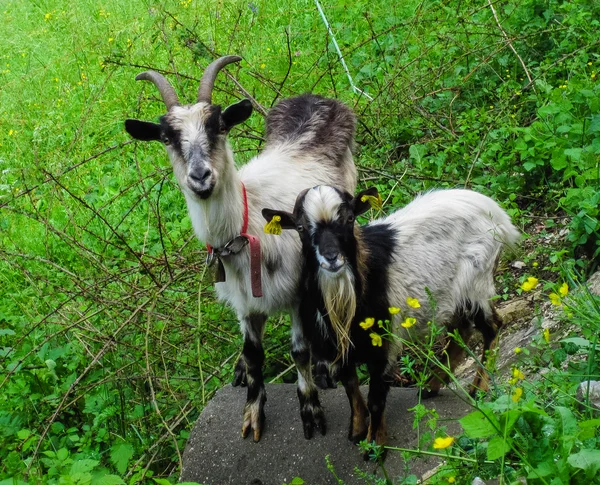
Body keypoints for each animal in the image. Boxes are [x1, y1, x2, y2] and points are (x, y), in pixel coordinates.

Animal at [123, 55, 354, 438]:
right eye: (167, 137)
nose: (200, 176)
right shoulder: (244, 302)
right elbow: (253, 355)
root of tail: (312, 98)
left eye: (218, 125)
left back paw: (326, 366)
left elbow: (299, 352)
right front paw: (252, 414)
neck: (246, 230)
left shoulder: (295, 291)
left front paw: (311, 411)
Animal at [262, 187, 520, 448]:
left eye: (349, 219)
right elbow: (350, 386)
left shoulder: (382, 343)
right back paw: (430, 386)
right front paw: (356, 430)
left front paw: (375, 445)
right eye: (301, 228)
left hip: (477, 281)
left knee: (491, 326)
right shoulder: (341, 346)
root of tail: (494, 210)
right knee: (462, 330)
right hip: (451, 295)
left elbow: (376, 397)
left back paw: (479, 388)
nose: (332, 257)